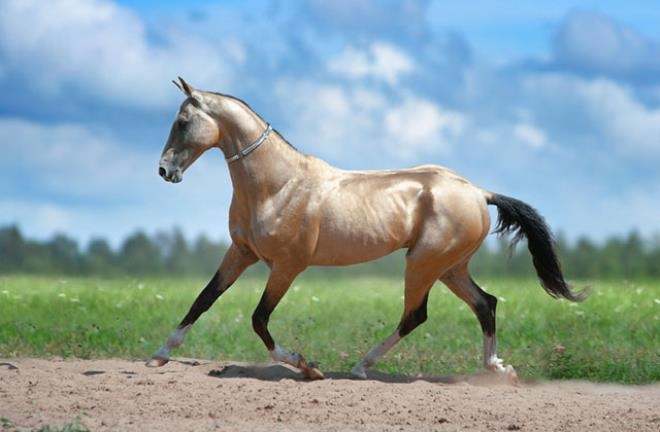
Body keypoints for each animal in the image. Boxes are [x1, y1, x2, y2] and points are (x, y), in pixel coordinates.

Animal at [148, 77, 584, 378]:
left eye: (183, 121)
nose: (165, 170)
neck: (278, 186)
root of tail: (479, 192)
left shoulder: (287, 267)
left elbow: (259, 319)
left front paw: (307, 366)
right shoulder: (241, 253)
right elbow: (203, 299)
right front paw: (160, 355)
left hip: (423, 264)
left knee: (416, 315)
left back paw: (361, 367)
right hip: (449, 268)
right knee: (485, 304)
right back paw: (496, 368)